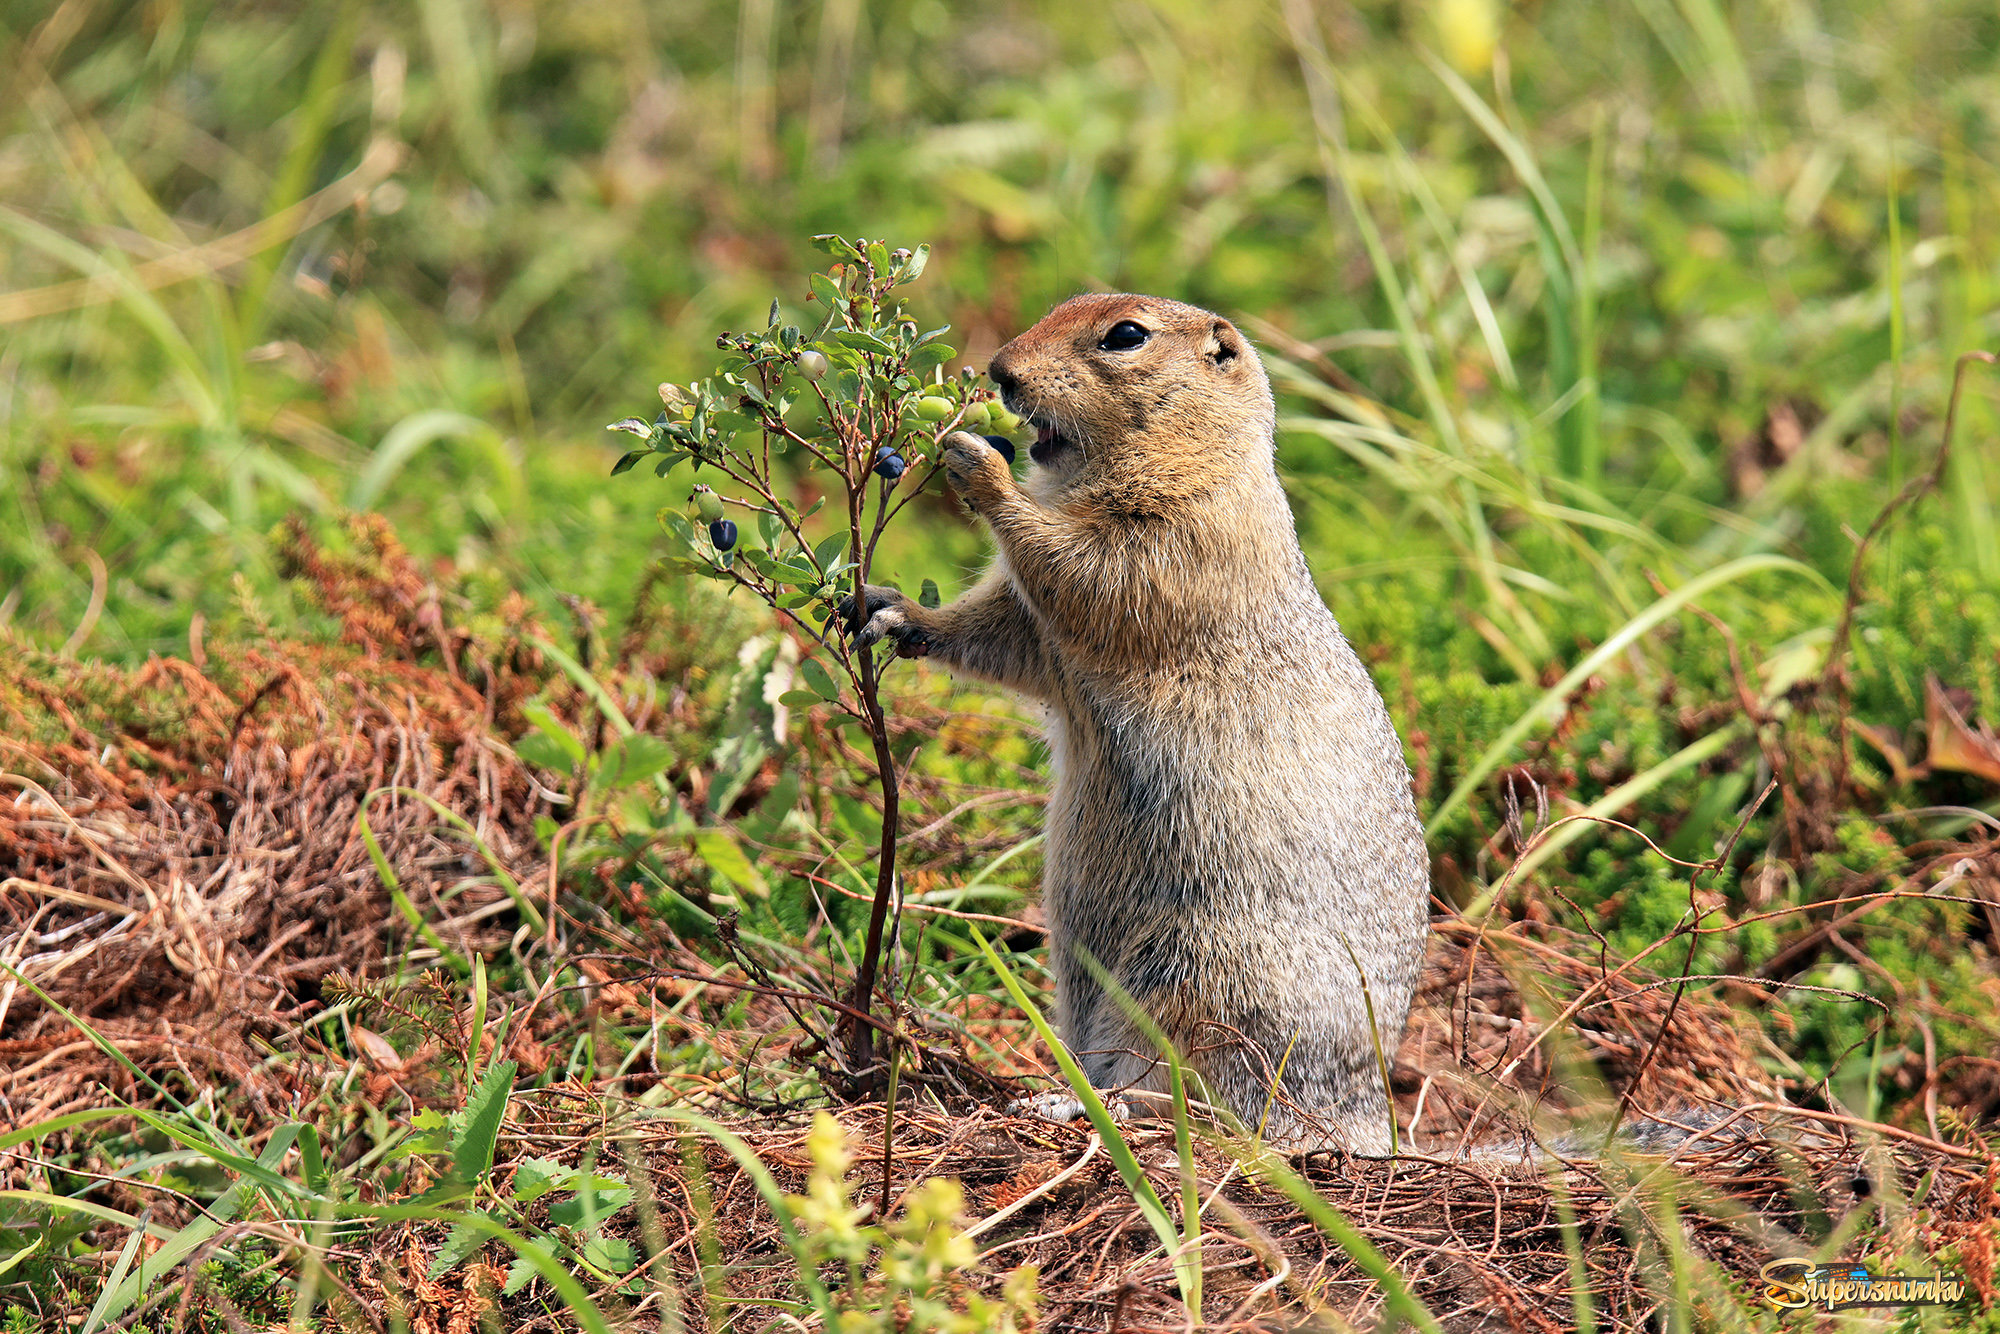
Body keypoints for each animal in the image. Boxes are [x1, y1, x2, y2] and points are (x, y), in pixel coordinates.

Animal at [852, 298, 1432, 1152]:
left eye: (1126, 335)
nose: (999, 371)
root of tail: (1361, 1122)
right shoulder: (1036, 629)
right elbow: (1003, 630)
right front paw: (890, 611)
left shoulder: (1177, 536)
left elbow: (1079, 571)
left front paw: (978, 466)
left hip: (1202, 978)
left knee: (1203, 1101)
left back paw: (1083, 1107)